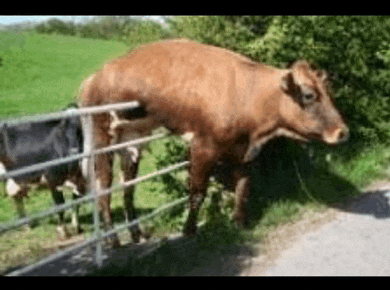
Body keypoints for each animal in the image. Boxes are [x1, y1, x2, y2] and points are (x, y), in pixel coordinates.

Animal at [0, 110, 87, 239]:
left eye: (80, 131)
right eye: (64, 132)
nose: (73, 153)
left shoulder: (80, 181)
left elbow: (76, 203)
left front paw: (77, 226)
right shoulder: (52, 180)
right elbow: (60, 205)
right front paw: (63, 230)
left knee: (17, 197)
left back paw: (26, 225)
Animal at [79, 39, 348, 247]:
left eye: (329, 93)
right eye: (309, 95)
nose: (342, 132)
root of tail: (94, 77)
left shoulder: (245, 153)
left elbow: (243, 188)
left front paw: (239, 224)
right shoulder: (202, 148)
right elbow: (197, 193)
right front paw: (189, 231)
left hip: (132, 139)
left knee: (128, 187)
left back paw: (137, 234)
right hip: (102, 137)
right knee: (103, 188)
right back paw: (112, 241)